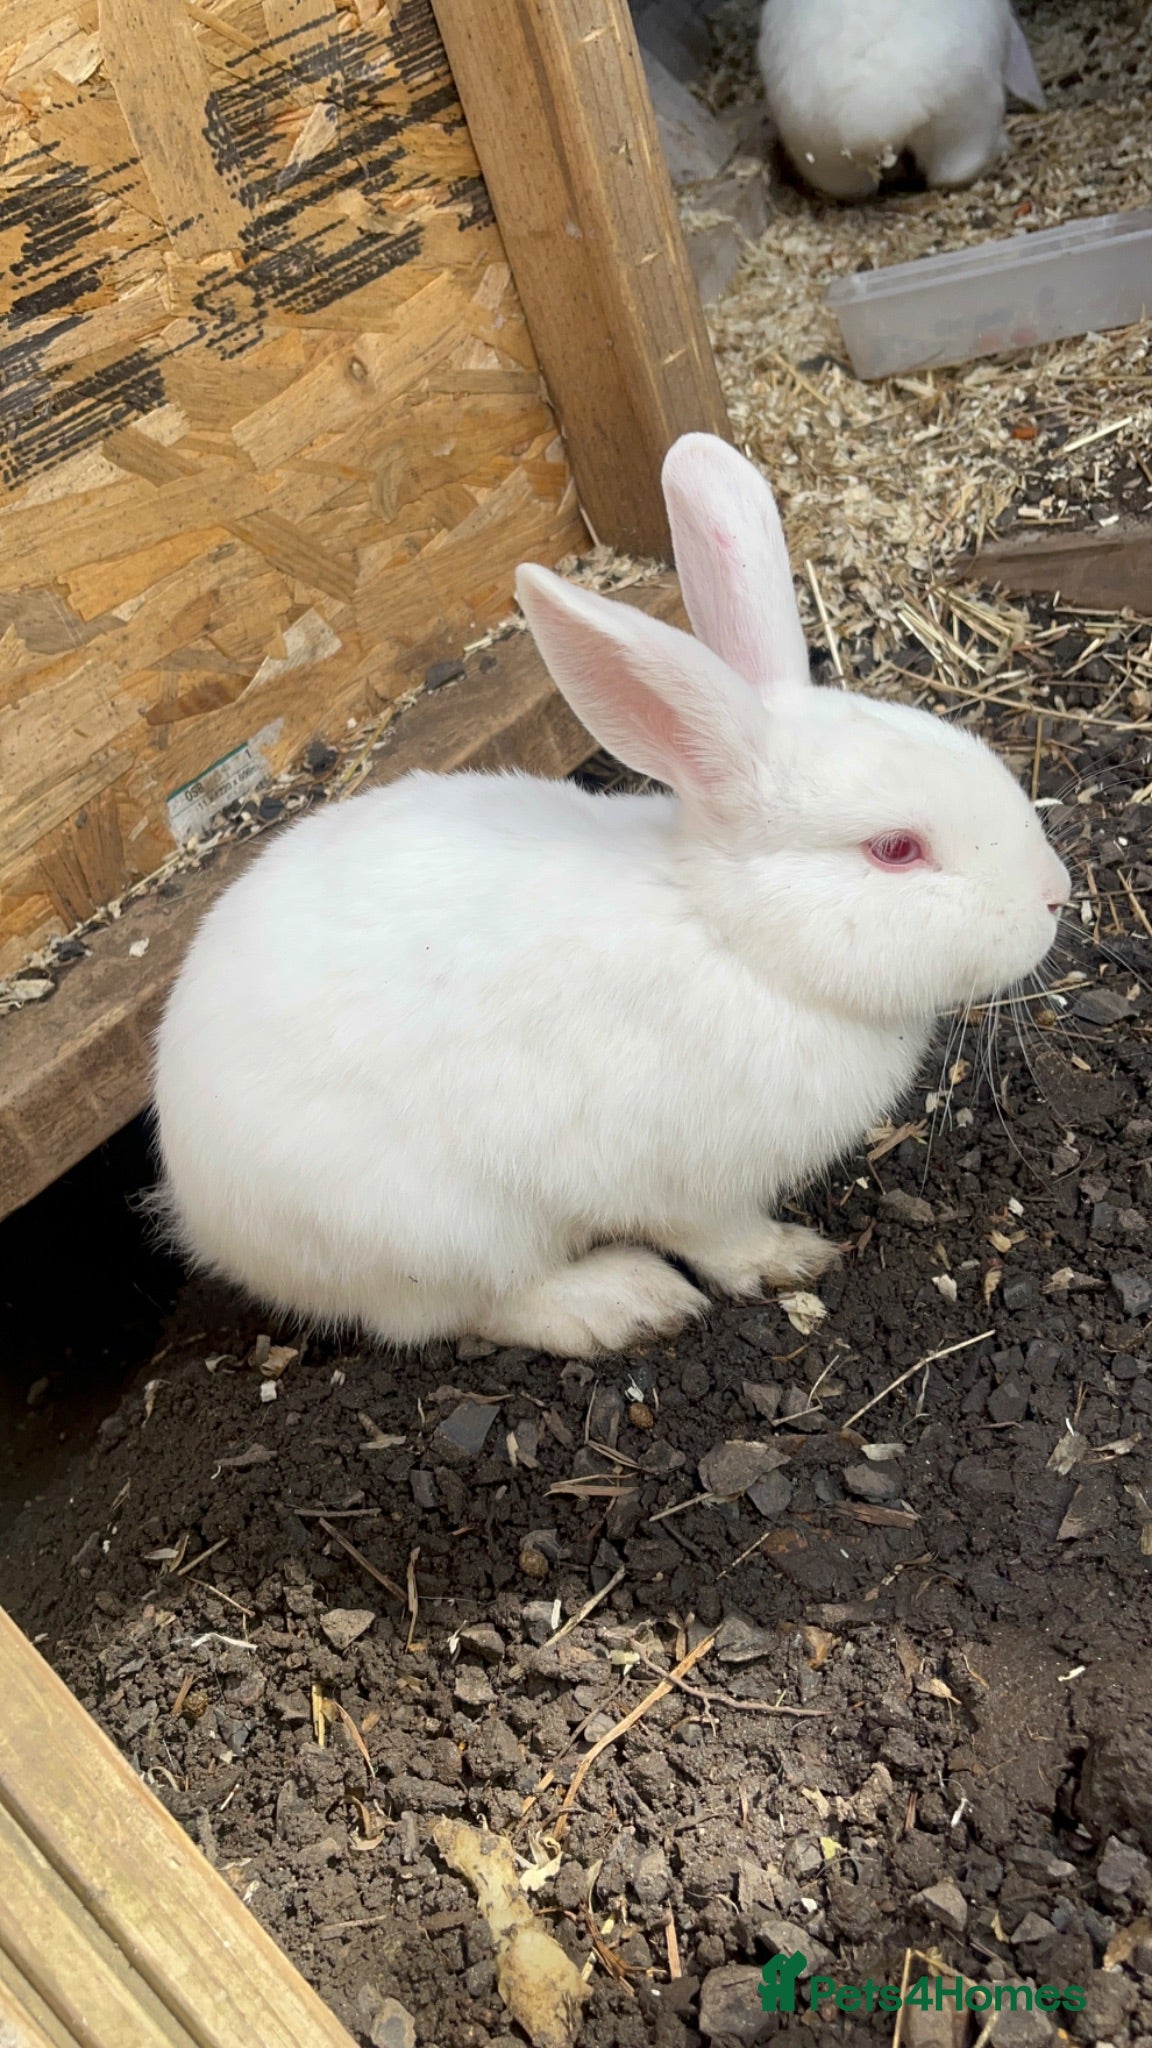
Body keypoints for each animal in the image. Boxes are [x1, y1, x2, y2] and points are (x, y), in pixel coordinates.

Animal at [152, 433, 1069, 1361]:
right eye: (895, 850)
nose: (1056, 894)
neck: (735, 941)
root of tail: (202, 1214)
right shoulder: (685, 1182)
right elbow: (717, 1238)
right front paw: (786, 1259)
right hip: (431, 1230)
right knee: (463, 1308)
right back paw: (623, 1301)